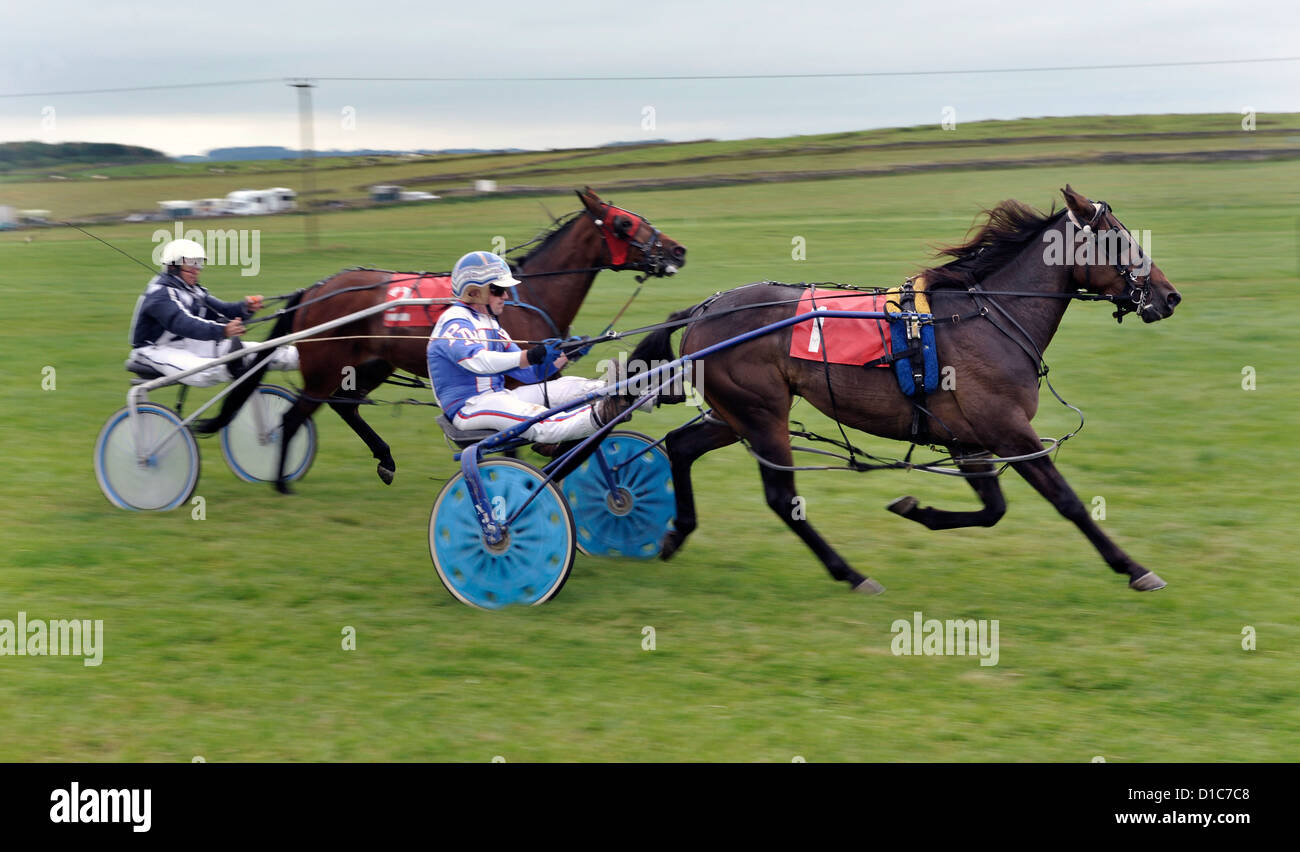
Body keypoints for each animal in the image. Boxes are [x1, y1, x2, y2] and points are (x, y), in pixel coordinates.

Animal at [198, 187, 686, 494]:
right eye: (623, 224)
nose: (678, 250)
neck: (528, 294)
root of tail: (316, 290)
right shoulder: (514, 382)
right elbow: (515, 435)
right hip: (324, 368)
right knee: (295, 417)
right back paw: (282, 482)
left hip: (371, 365)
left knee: (346, 406)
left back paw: (384, 459)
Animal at [631, 184, 1190, 600]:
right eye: (1118, 241)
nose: (1169, 296)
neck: (987, 318)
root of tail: (703, 310)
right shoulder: (1007, 429)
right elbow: (1067, 501)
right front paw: (1133, 567)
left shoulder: (969, 440)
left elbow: (993, 510)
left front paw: (915, 510)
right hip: (762, 414)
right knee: (782, 498)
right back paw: (852, 574)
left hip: (735, 415)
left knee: (681, 446)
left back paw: (675, 533)